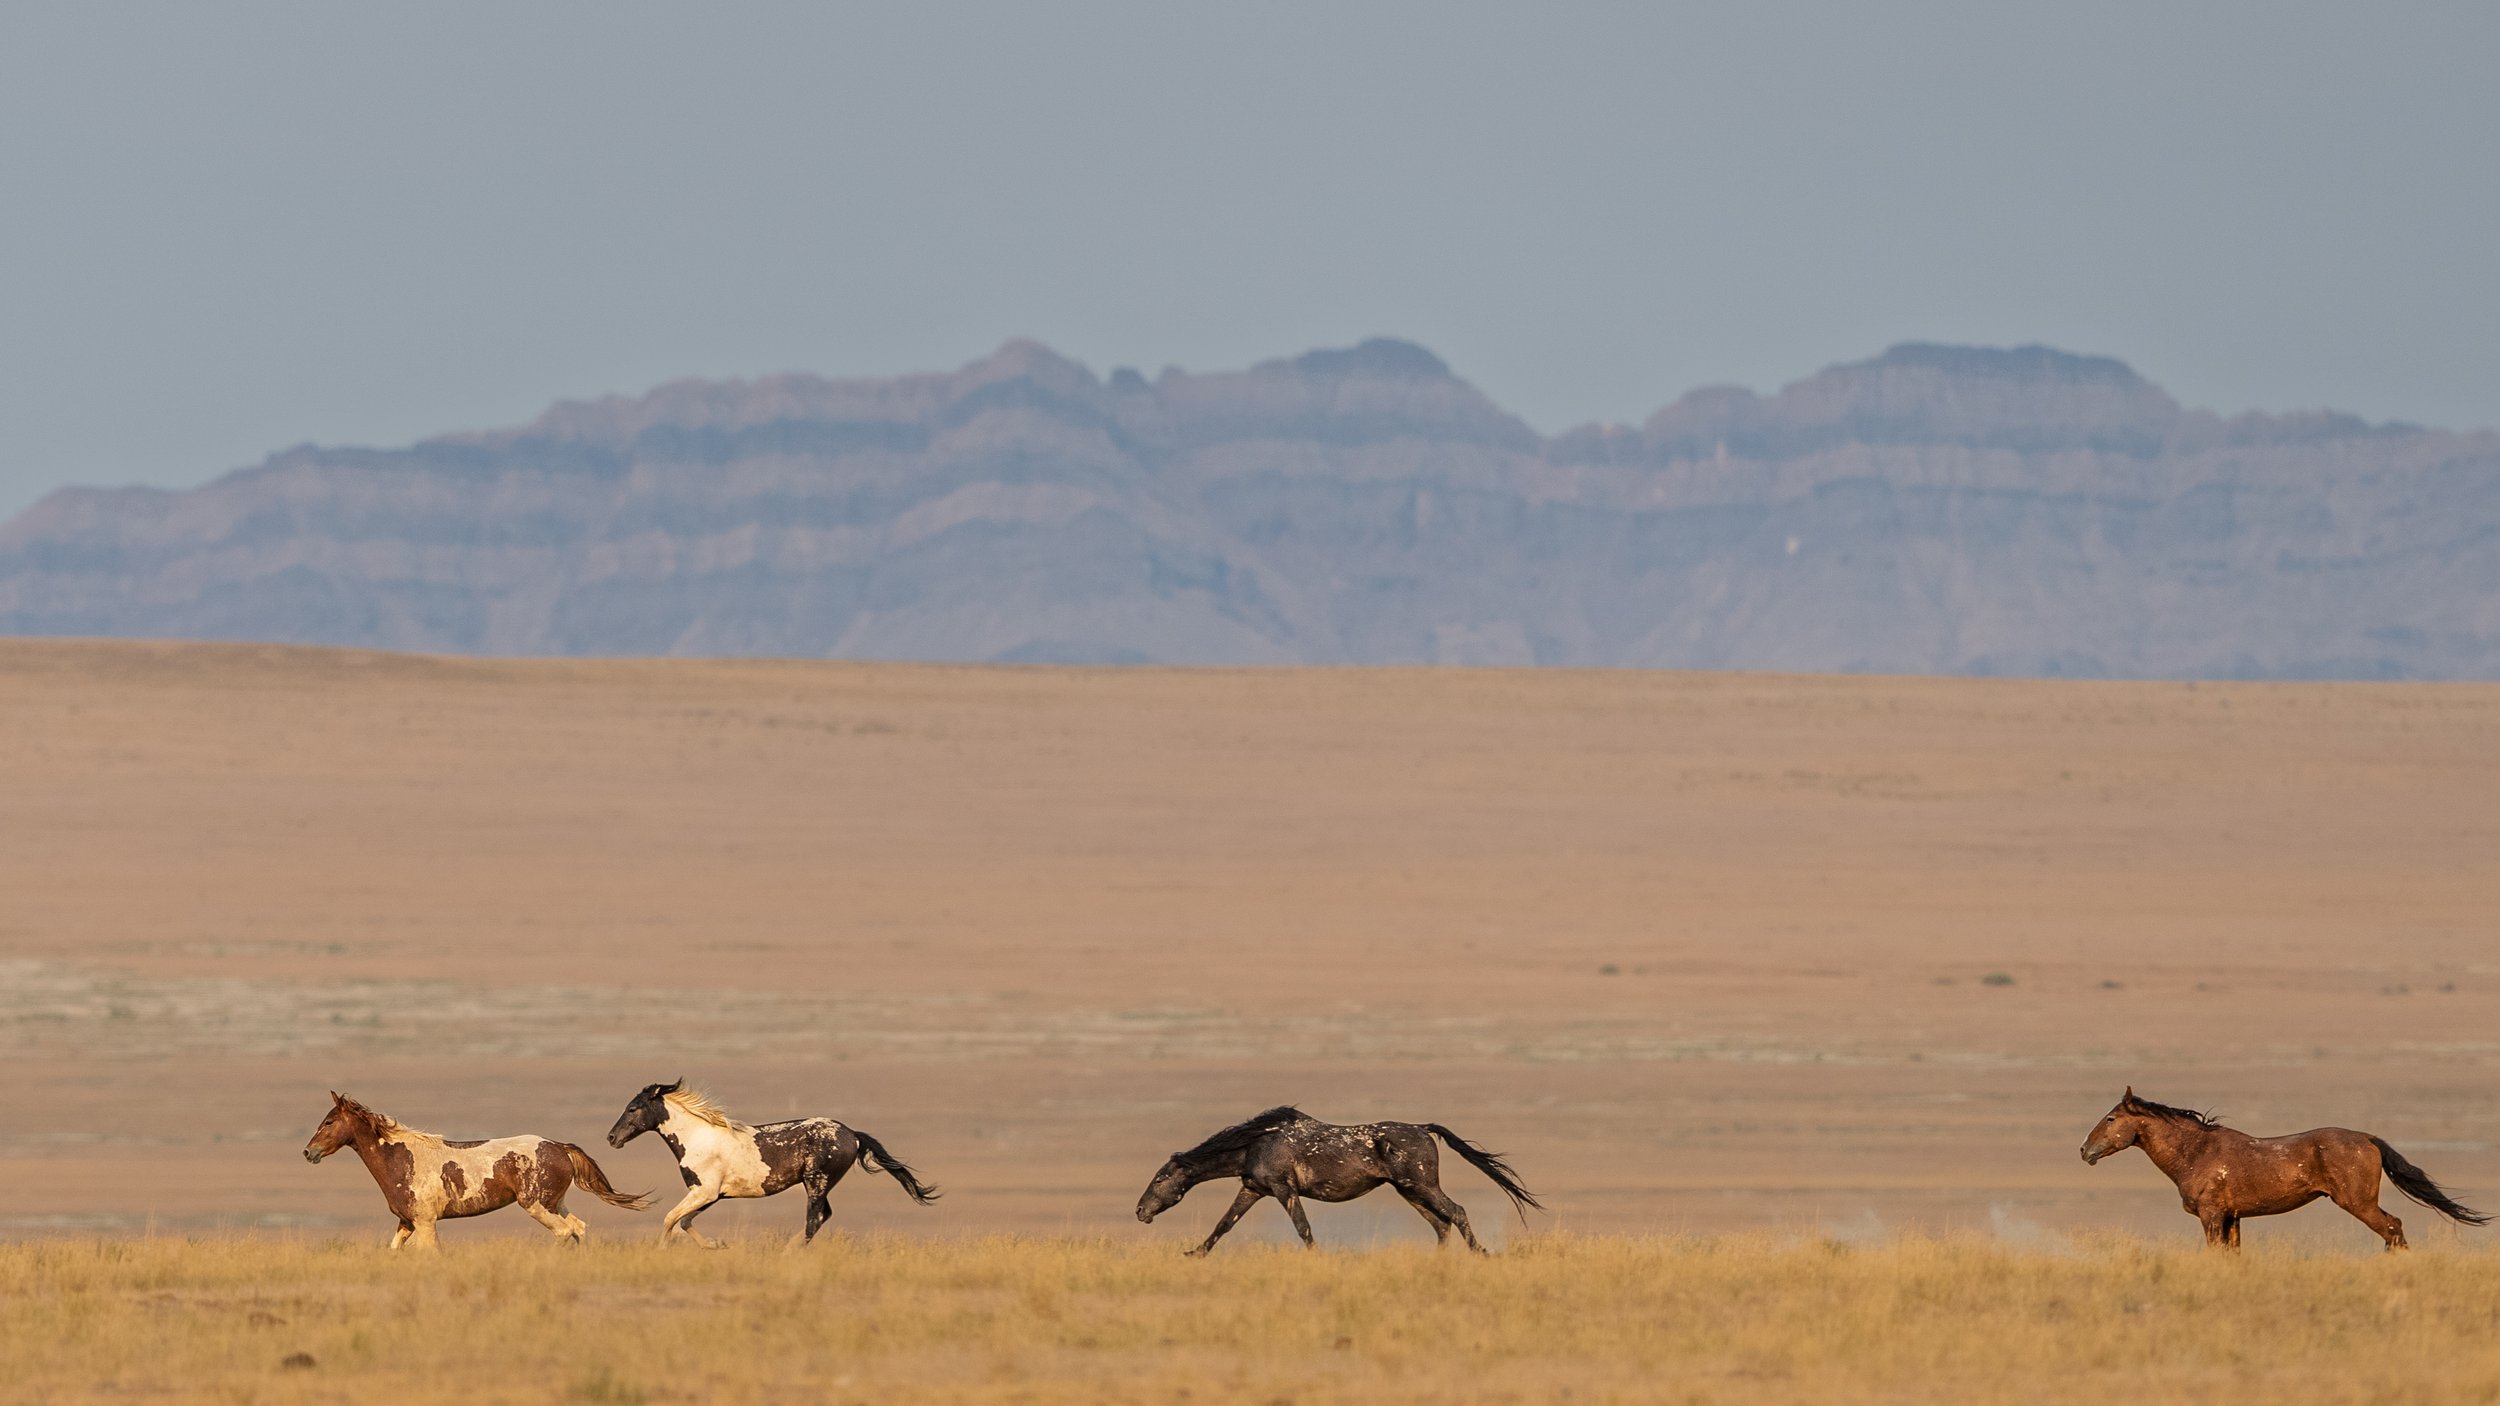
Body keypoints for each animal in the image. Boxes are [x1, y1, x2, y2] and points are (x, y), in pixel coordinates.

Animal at [301, 1091, 650, 1249]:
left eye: (329, 1121)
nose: (308, 1152)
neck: (401, 1160)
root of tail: (560, 1147)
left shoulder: (425, 1223)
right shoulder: (406, 1223)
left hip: (536, 1205)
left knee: (564, 1232)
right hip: (555, 1203)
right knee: (578, 1228)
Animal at [605, 1080, 940, 1246]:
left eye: (633, 1108)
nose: (611, 1137)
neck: (699, 1138)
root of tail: (852, 1135)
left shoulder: (704, 1191)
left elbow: (670, 1220)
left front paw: (662, 1251)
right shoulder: (712, 1195)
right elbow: (685, 1221)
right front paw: (716, 1245)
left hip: (816, 1182)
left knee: (814, 1219)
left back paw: (788, 1252)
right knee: (822, 1217)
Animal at [1135, 1105, 1541, 1256]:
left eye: (1160, 1179)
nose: (1140, 1211)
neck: (1256, 1143)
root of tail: (1424, 1129)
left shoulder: (1283, 1190)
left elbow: (1303, 1228)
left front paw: (1317, 1257)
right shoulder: (1253, 1190)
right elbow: (1223, 1225)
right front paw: (1194, 1253)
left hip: (1423, 1186)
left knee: (1456, 1212)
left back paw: (1481, 1254)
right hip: (1408, 1191)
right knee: (1440, 1224)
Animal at [2079, 1086, 2490, 1249]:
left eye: (2112, 1118)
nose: (2085, 1150)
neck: (2195, 1152)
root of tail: (2368, 1139)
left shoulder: (2211, 1216)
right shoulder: (2232, 1218)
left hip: (2359, 1203)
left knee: (2392, 1228)